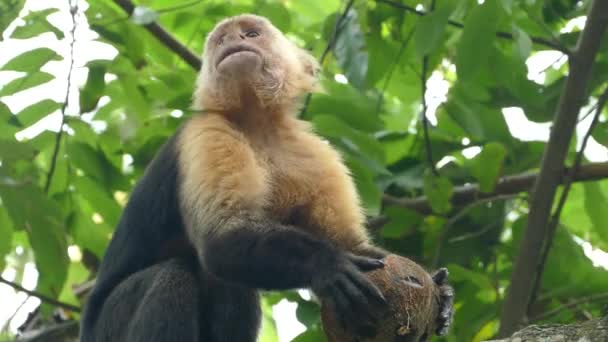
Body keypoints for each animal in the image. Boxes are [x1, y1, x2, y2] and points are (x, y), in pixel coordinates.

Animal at [79, 14, 452, 342]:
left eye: (251, 34)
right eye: (221, 40)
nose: (233, 40)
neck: (258, 124)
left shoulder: (315, 152)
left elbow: (354, 246)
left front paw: (440, 294)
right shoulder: (207, 133)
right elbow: (221, 238)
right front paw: (326, 264)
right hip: (108, 328)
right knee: (174, 276)